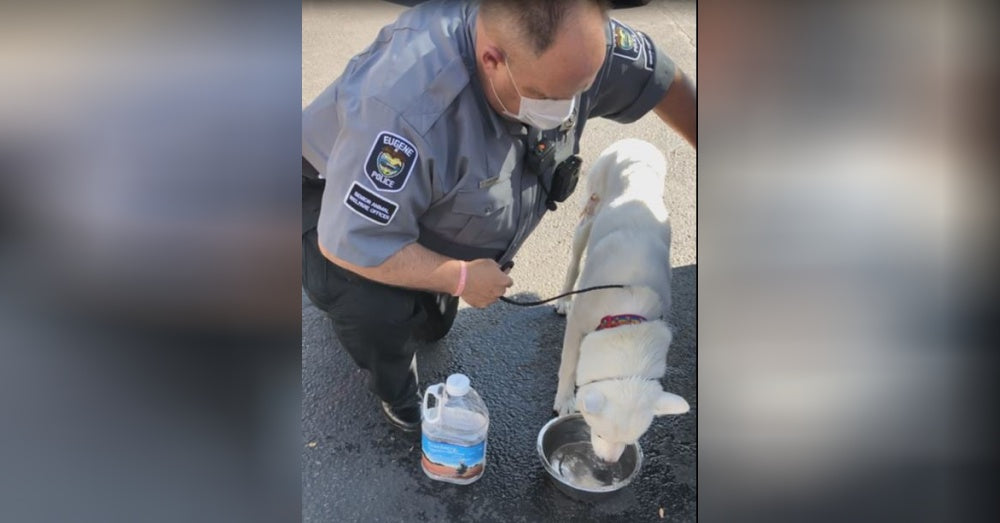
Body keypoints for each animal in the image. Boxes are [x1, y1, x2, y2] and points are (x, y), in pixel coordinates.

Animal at [552, 138, 692, 462]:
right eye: (600, 433)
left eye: (632, 441)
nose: (606, 463)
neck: (627, 314)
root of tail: (635, 142)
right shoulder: (579, 321)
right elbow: (568, 362)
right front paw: (564, 398)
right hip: (588, 216)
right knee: (575, 261)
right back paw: (563, 299)